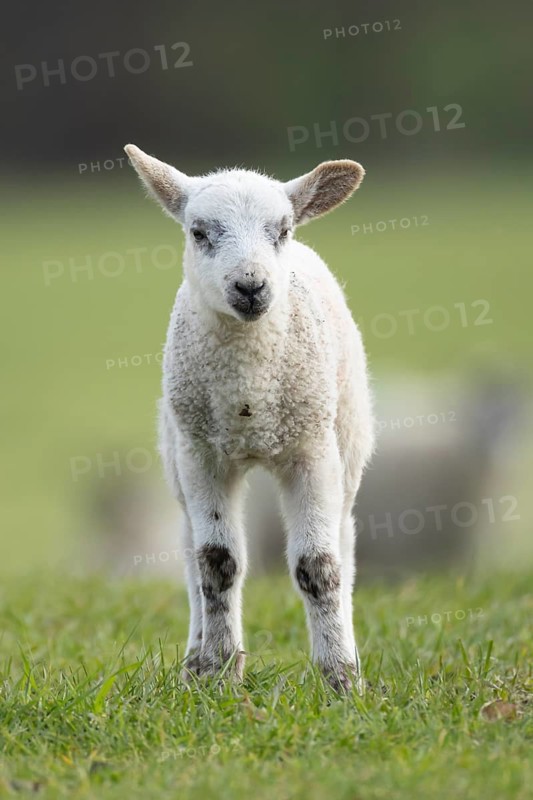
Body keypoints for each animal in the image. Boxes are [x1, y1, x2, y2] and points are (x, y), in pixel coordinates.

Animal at [124, 144, 375, 692]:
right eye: (199, 232)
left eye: (282, 230)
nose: (251, 286)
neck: (248, 400)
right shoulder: (202, 455)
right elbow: (217, 564)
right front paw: (219, 672)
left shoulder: (311, 450)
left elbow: (317, 565)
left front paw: (340, 680)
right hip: (176, 453)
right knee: (189, 549)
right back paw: (195, 659)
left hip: (347, 438)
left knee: (343, 541)